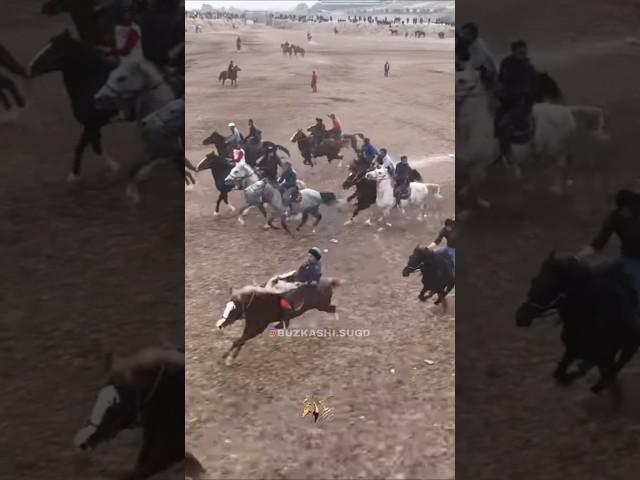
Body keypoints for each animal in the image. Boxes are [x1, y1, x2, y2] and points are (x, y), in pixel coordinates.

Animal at [27, 30, 119, 181]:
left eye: (53, 52)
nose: (29, 69)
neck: (91, 84)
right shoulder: (93, 125)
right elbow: (91, 145)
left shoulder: (91, 124)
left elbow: (86, 146)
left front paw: (74, 175)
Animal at [456, 60, 608, 204]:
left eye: (462, 80)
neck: (474, 126)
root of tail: (566, 110)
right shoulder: (473, 164)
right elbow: (471, 180)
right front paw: (463, 194)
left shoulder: (480, 163)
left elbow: (476, 181)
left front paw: (482, 202)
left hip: (555, 149)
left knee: (560, 165)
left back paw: (556, 188)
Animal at [516, 253, 640, 404]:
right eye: (534, 281)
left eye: (549, 288)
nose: (520, 317)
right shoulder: (572, 349)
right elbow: (561, 371)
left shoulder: (604, 355)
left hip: (629, 347)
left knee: (618, 365)